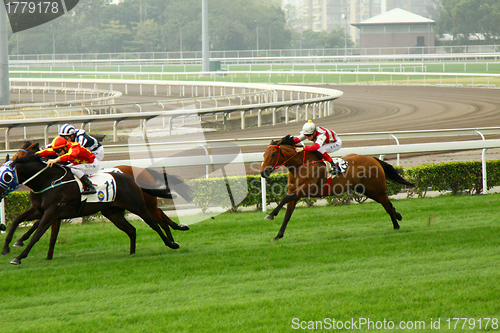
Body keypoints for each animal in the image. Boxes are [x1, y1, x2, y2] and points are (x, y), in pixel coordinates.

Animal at [2, 140, 193, 260]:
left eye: (18, 157)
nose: (10, 161)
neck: (50, 180)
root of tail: (137, 173)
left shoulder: (53, 210)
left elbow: (38, 230)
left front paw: (19, 249)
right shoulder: (45, 211)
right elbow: (28, 224)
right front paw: (14, 246)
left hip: (140, 205)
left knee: (156, 221)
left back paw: (172, 241)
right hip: (115, 211)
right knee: (140, 226)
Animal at [258, 134, 414, 240]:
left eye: (273, 154)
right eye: (264, 154)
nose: (262, 172)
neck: (301, 166)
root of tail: (373, 159)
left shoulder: (305, 189)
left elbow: (284, 198)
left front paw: (270, 215)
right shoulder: (295, 192)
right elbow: (287, 214)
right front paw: (278, 235)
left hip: (377, 189)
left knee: (387, 205)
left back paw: (396, 225)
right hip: (367, 190)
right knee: (388, 204)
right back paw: (398, 216)